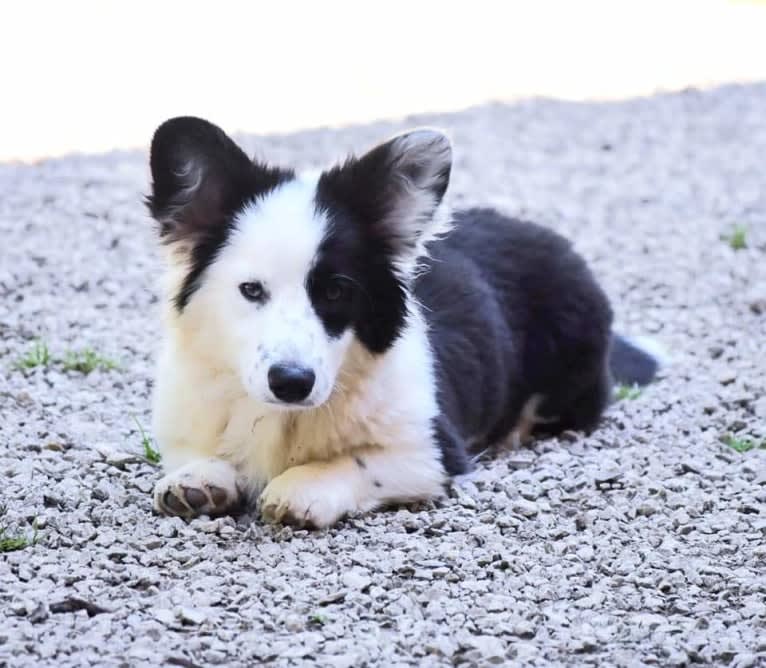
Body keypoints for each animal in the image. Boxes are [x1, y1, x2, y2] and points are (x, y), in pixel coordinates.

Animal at [147, 118, 664, 528]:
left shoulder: (432, 452)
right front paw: (199, 479)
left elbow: (354, 462)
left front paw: (300, 487)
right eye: (251, 290)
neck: (283, 416)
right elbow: (198, 457)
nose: (291, 383)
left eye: (335, 292)